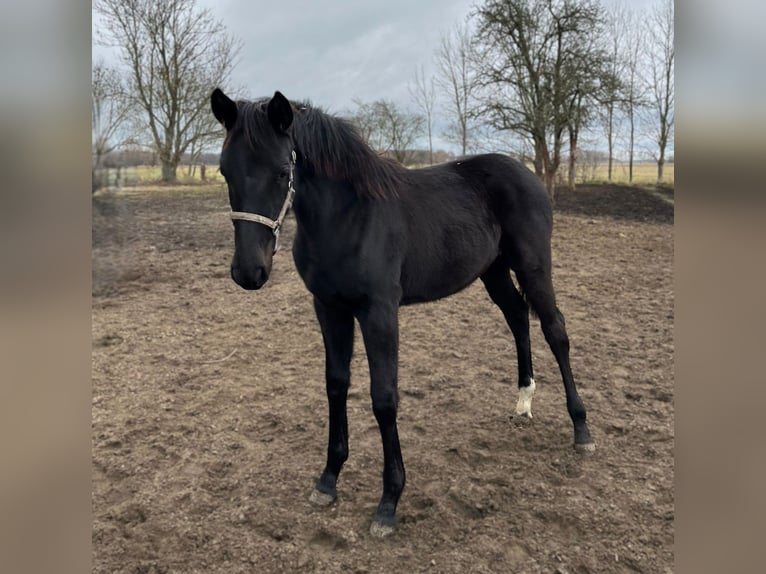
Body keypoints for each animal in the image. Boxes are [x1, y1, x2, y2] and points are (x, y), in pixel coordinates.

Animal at [213, 88, 596, 536]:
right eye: (224, 171)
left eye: (280, 171)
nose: (249, 272)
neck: (347, 216)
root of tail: (525, 173)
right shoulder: (329, 308)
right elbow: (335, 385)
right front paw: (328, 480)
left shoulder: (379, 312)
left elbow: (384, 398)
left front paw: (389, 502)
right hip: (494, 271)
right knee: (518, 318)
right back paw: (523, 403)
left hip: (533, 266)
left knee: (555, 331)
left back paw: (581, 429)